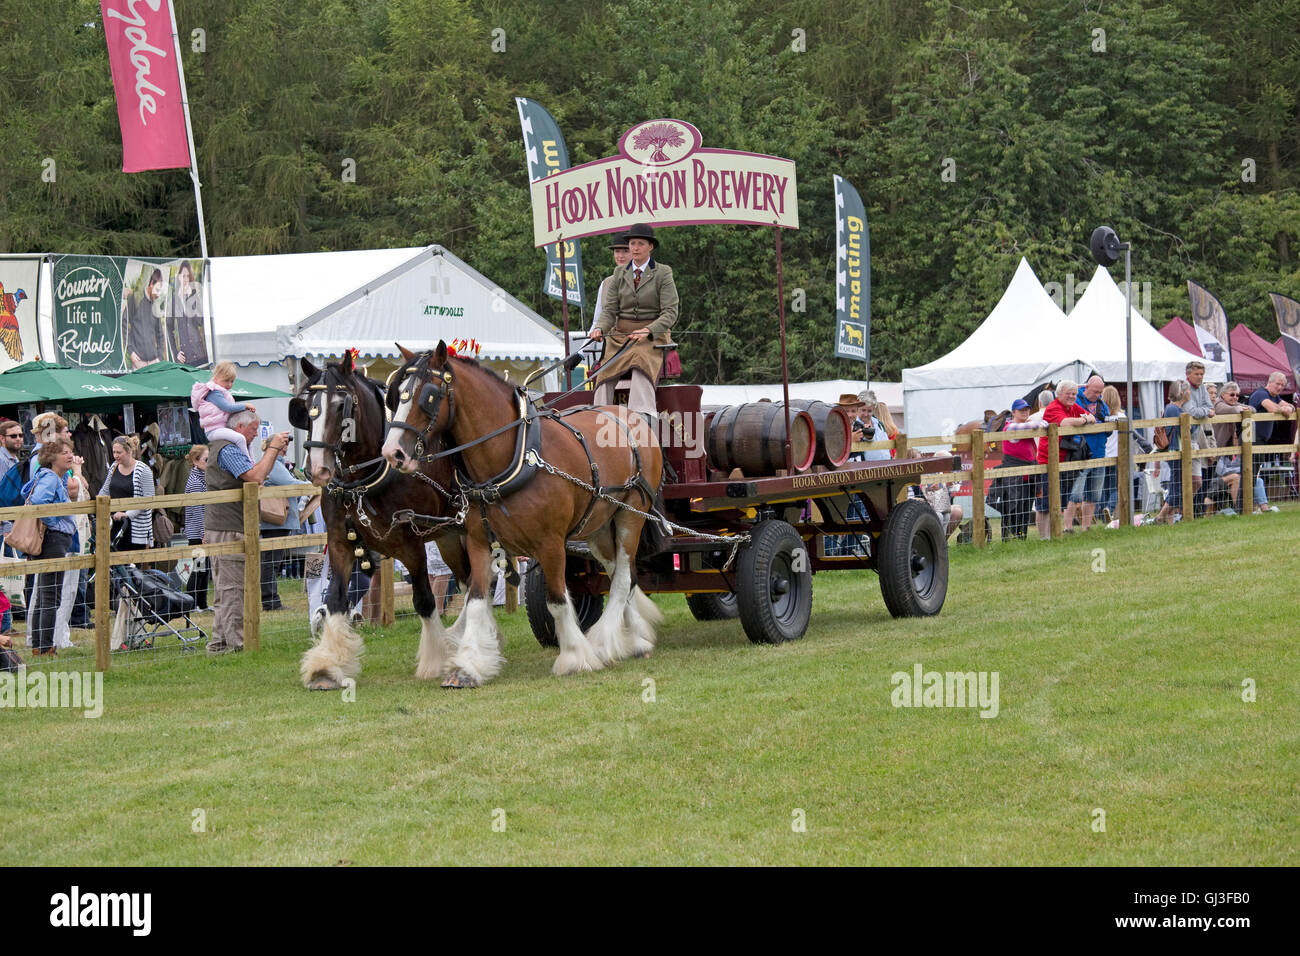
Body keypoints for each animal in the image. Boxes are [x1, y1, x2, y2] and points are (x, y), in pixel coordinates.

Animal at [292, 351, 470, 686]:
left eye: (342, 405)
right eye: (307, 407)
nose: (317, 468)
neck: (366, 477)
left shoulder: (411, 546)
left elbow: (424, 600)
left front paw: (433, 660)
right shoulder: (340, 544)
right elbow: (335, 600)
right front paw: (326, 666)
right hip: (449, 536)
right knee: (469, 579)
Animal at [377, 343, 660, 686]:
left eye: (428, 396)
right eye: (395, 396)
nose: (392, 453)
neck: (513, 456)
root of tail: (628, 415)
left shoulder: (551, 544)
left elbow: (556, 600)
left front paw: (575, 657)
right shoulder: (479, 542)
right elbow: (475, 601)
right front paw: (467, 665)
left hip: (633, 515)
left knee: (622, 579)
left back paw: (604, 643)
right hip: (599, 527)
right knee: (621, 571)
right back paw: (635, 639)